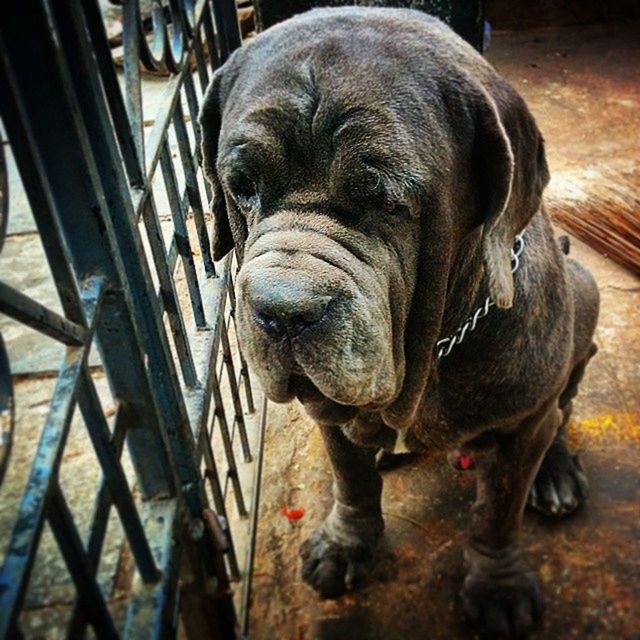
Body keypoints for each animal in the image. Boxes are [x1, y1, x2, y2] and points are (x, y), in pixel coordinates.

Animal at [199, 7, 600, 636]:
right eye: (241, 187)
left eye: (387, 201)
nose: (283, 310)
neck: (432, 351)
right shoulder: (330, 414)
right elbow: (352, 480)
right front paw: (345, 544)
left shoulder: (518, 429)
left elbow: (497, 515)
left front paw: (499, 586)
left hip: (586, 292)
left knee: (562, 408)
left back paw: (555, 472)